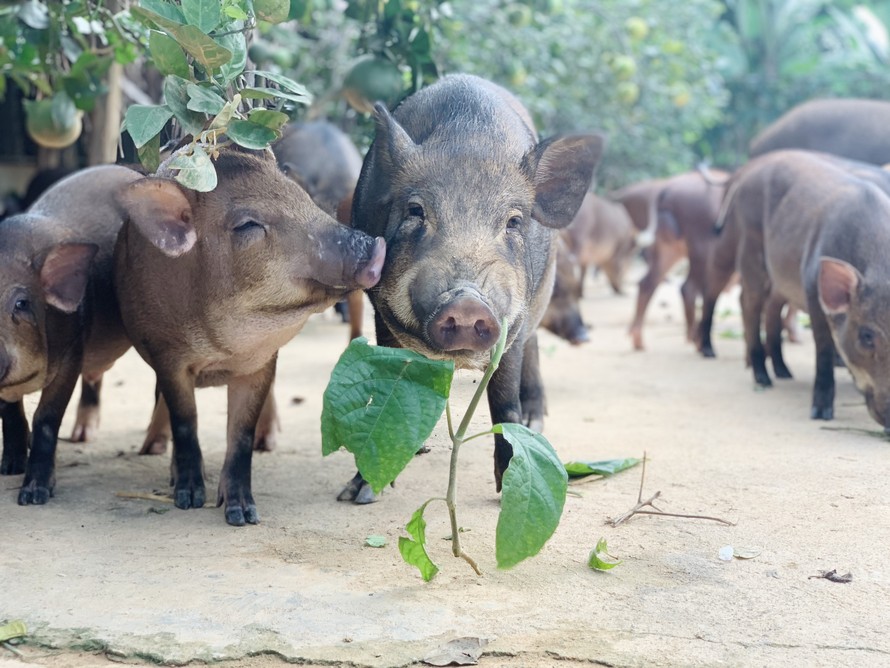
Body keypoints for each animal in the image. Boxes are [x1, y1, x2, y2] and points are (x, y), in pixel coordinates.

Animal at [112, 147, 384, 528]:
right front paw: (189, 499)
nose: (376, 245)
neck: (220, 349)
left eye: (302, 197)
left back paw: (266, 443)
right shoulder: (167, 356)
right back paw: (153, 451)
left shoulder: (261, 361)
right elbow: (185, 421)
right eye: (247, 225)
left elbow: (240, 433)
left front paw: (243, 516)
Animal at [336, 73, 600, 500]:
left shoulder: (512, 328)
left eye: (513, 221)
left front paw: (505, 491)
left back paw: (537, 421)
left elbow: (504, 402)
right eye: (416, 211)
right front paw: (358, 495)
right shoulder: (381, 314)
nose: (466, 301)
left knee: (534, 351)